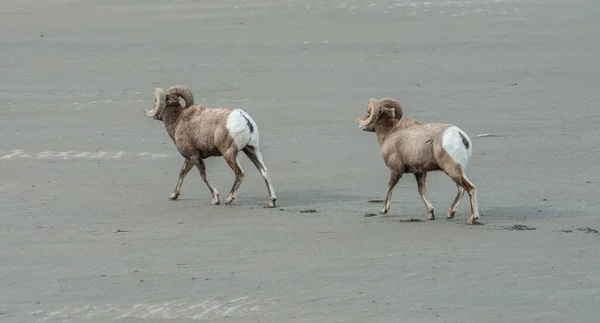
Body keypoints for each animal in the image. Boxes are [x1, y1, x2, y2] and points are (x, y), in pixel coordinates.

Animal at [144, 85, 278, 208]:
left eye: (156, 101)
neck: (177, 120)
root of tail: (244, 119)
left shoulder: (194, 156)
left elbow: (203, 176)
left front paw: (215, 199)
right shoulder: (190, 158)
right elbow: (182, 172)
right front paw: (173, 195)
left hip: (229, 155)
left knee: (240, 174)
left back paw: (229, 199)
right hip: (252, 150)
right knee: (264, 171)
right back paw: (272, 201)